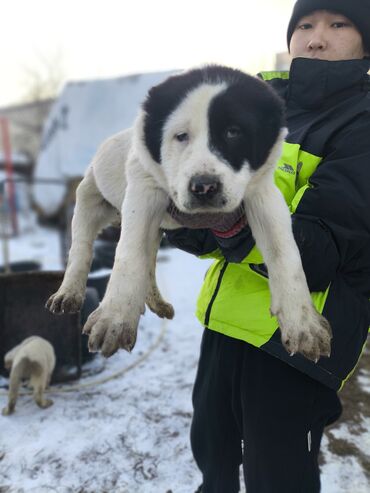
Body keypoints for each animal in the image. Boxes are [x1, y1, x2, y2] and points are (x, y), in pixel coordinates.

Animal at [46, 65, 332, 360]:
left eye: (233, 133)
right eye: (180, 136)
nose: (204, 187)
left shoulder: (263, 195)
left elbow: (286, 255)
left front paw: (303, 324)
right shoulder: (143, 192)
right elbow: (128, 255)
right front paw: (114, 319)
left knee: (149, 263)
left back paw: (157, 303)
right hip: (88, 201)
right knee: (81, 251)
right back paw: (68, 295)